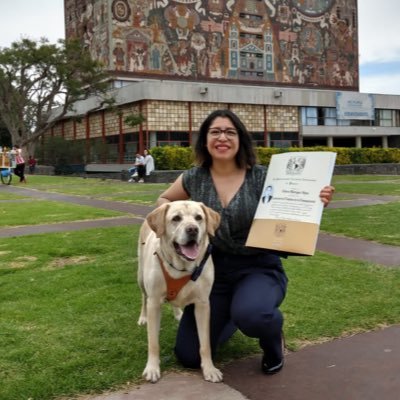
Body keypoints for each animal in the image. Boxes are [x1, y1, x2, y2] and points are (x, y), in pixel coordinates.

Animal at [138, 202, 222, 382]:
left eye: (199, 217)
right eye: (176, 218)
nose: (193, 229)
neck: (182, 267)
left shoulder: (203, 304)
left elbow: (205, 343)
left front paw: (209, 369)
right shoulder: (154, 302)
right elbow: (153, 342)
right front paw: (152, 368)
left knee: (174, 301)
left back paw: (178, 314)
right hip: (140, 277)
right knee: (143, 297)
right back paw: (142, 317)